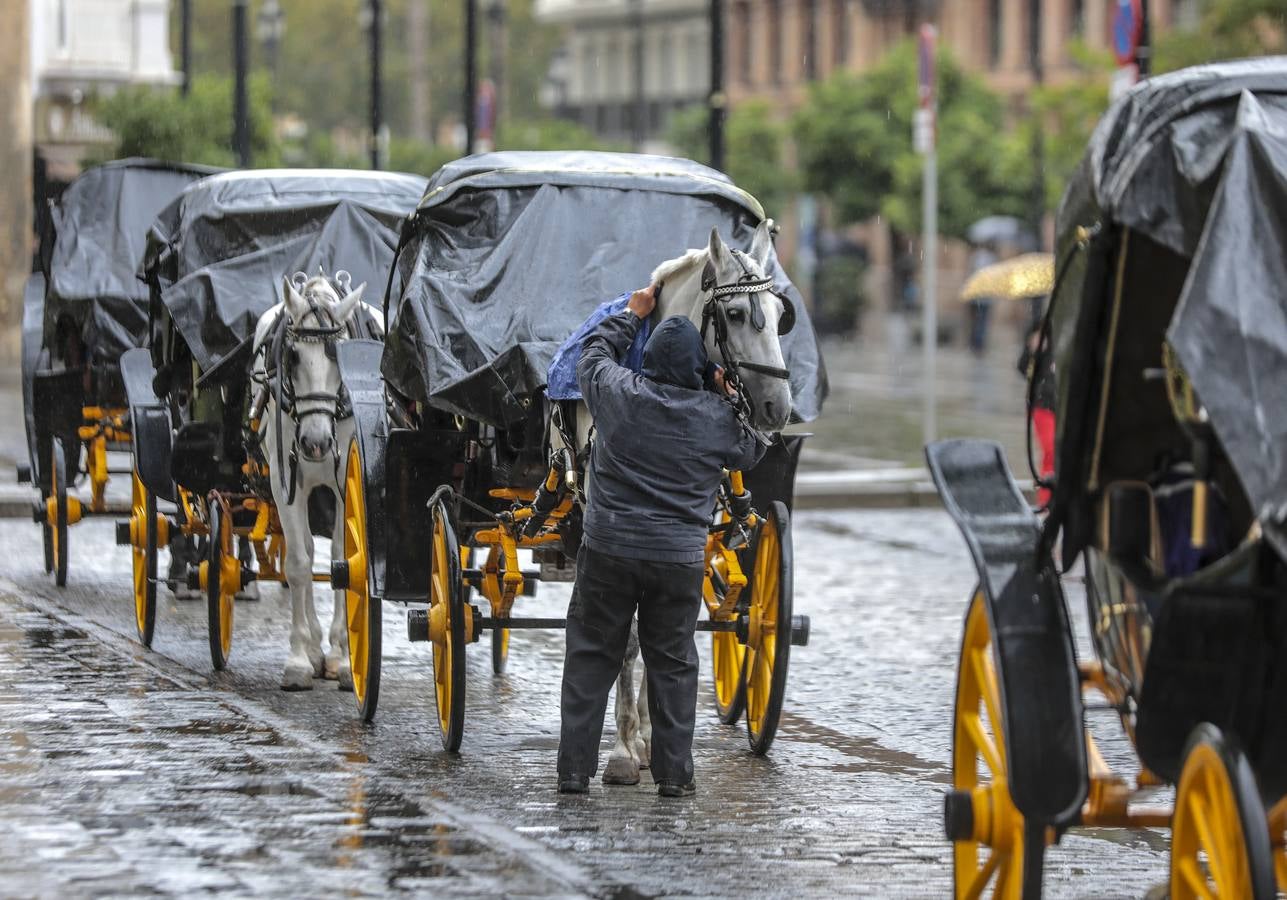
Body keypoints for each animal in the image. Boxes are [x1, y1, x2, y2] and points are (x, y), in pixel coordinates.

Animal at [252, 271, 380, 695]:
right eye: (291, 356)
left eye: (338, 355)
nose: (316, 442)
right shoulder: (284, 480)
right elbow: (297, 564)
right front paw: (298, 660)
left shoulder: (346, 482)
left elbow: (344, 557)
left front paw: (343, 657)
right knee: (305, 550)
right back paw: (312, 648)